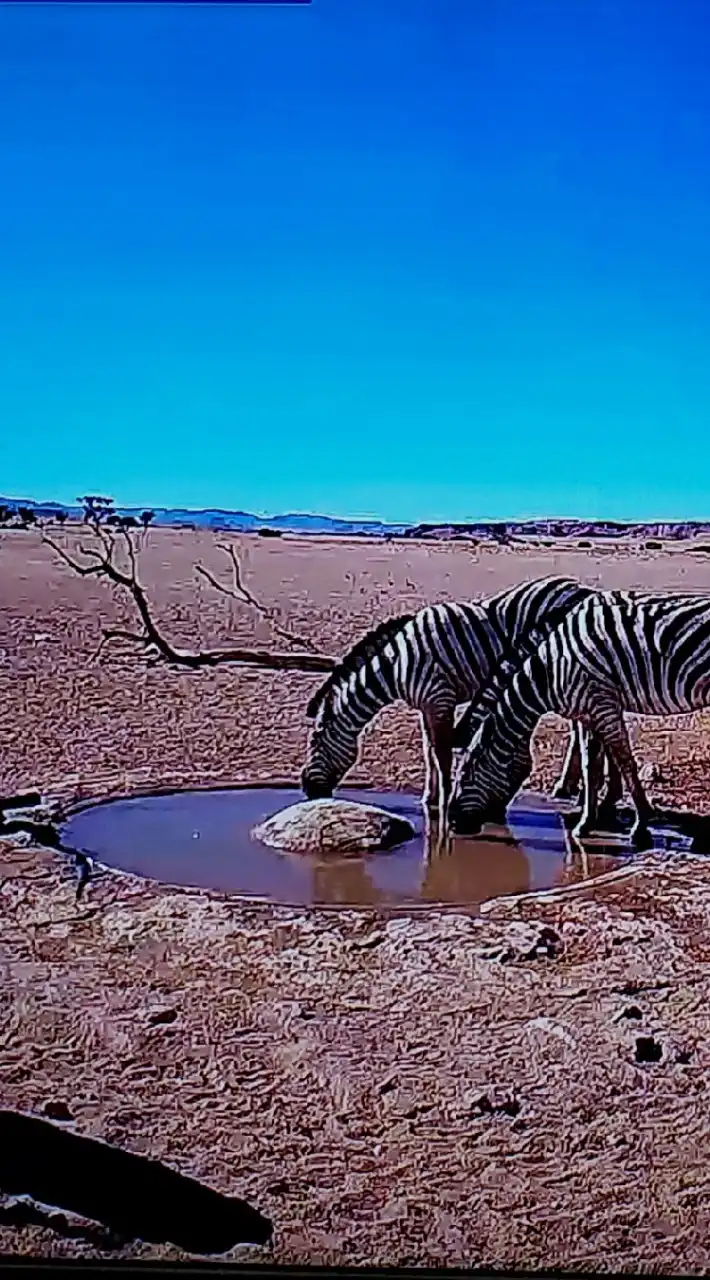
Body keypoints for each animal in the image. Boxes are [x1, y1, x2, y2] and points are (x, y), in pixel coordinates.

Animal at [300, 573, 616, 819]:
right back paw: (571, 788)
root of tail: (582, 589)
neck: (397, 664)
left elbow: (440, 753)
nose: (307, 789)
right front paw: (429, 797)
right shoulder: (426, 705)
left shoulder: (439, 696)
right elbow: (429, 750)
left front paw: (443, 800)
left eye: (314, 742)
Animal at [447, 588, 710, 849]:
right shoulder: (589, 711)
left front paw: (639, 829)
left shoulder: (602, 703)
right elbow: (591, 764)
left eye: (466, 775)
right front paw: (588, 821)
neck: (550, 670)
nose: (451, 823)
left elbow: (624, 762)